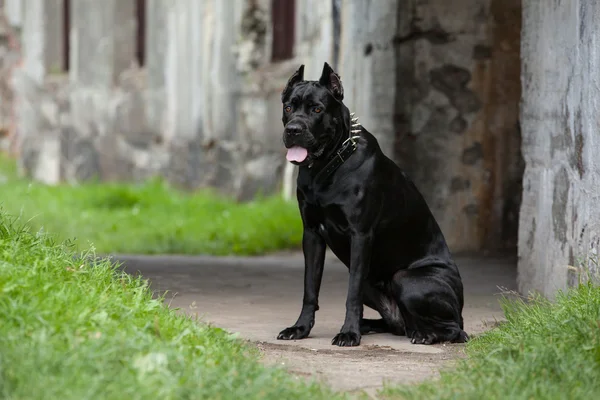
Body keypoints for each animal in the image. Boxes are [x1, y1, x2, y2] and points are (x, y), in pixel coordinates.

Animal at [276, 62, 468, 346]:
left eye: (317, 109)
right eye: (289, 107)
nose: (294, 130)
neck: (327, 166)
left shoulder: (360, 235)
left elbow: (351, 293)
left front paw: (349, 333)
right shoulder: (311, 235)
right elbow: (310, 288)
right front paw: (300, 328)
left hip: (407, 280)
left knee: (456, 330)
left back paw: (426, 335)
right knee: (397, 323)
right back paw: (376, 326)